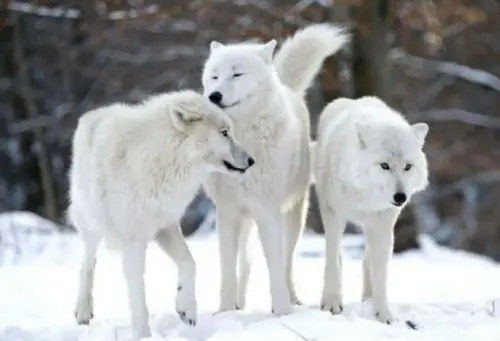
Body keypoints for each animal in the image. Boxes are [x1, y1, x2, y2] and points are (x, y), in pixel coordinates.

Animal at [66, 90, 254, 340]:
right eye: (224, 133)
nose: (252, 161)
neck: (163, 160)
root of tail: (92, 114)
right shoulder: (134, 241)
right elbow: (138, 297)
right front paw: (143, 334)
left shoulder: (165, 226)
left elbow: (190, 263)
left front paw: (186, 309)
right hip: (92, 223)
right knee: (87, 262)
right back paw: (83, 310)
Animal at [201, 22, 350, 312]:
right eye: (214, 76)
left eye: (237, 74)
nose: (213, 96)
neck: (244, 139)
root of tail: (286, 86)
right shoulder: (227, 212)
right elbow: (227, 270)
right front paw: (225, 312)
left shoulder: (268, 211)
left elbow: (276, 267)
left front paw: (282, 311)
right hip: (246, 220)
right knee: (245, 263)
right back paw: (239, 304)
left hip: (293, 216)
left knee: (287, 261)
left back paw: (292, 300)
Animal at [314, 95, 428, 322]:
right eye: (384, 165)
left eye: (408, 166)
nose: (400, 197)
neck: (365, 198)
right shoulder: (332, 215)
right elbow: (333, 260)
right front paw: (331, 304)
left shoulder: (384, 224)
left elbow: (381, 272)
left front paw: (383, 314)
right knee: (341, 256)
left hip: (372, 227)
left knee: (367, 259)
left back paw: (367, 299)